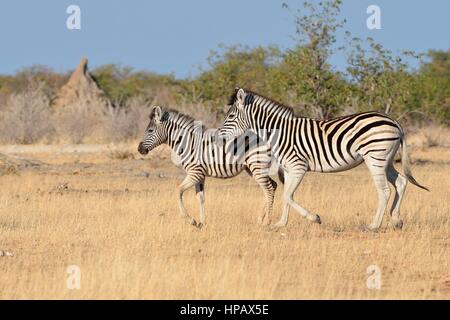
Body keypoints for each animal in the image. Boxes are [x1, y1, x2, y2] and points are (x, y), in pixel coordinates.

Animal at [139, 105, 284, 228]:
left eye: (150, 130)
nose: (139, 149)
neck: (188, 143)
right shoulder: (200, 175)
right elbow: (201, 197)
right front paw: (202, 223)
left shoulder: (194, 173)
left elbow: (178, 190)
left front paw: (191, 220)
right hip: (252, 168)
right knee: (272, 186)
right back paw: (260, 220)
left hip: (257, 166)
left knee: (269, 189)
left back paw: (266, 221)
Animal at [218, 87, 428, 230]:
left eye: (230, 116)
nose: (219, 136)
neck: (280, 134)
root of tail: (394, 122)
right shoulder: (288, 169)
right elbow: (286, 196)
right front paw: (281, 223)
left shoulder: (298, 166)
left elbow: (288, 196)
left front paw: (314, 218)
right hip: (387, 159)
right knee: (400, 182)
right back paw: (396, 220)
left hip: (375, 158)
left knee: (384, 190)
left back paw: (373, 225)